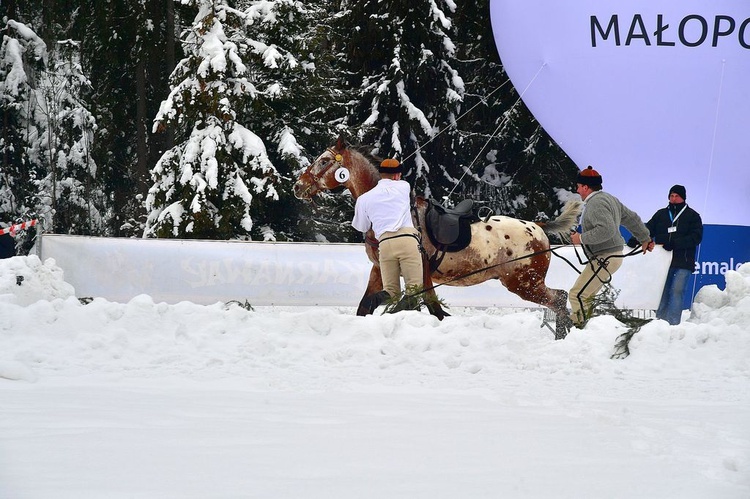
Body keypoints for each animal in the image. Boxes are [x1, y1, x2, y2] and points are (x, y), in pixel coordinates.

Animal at [294, 139, 580, 338]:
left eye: (324, 161)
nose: (299, 186)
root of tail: (537, 228)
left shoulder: (421, 271)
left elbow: (429, 306)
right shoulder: (380, 269)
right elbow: (367, 305)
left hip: (524, 283)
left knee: (558, 299)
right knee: (559, 300)